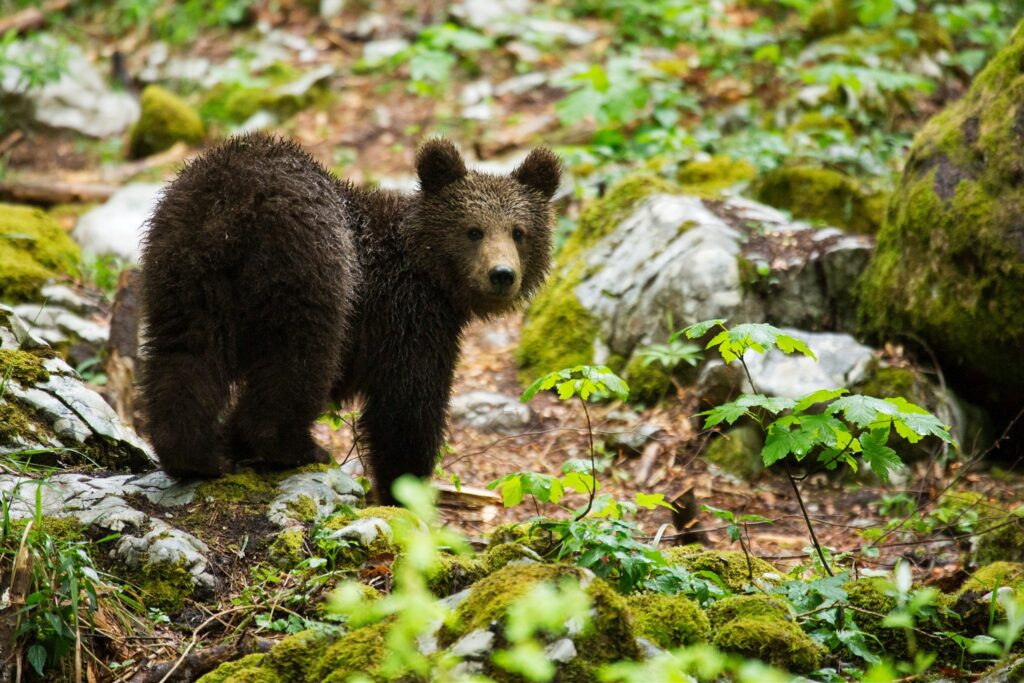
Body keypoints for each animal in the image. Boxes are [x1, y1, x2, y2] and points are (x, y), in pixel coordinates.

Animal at [138, 132, 561, 501]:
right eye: (474, 231)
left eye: (519, 232)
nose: (502, 274)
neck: (430, 274)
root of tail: (230, 200)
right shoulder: (407, 316)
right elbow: (406, 407)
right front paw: (403, 490)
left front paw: (231, 441)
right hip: (311, 267)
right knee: (298, 360)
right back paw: (297, 448)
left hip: (183, 269)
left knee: (186, 356)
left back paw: (196, 457)